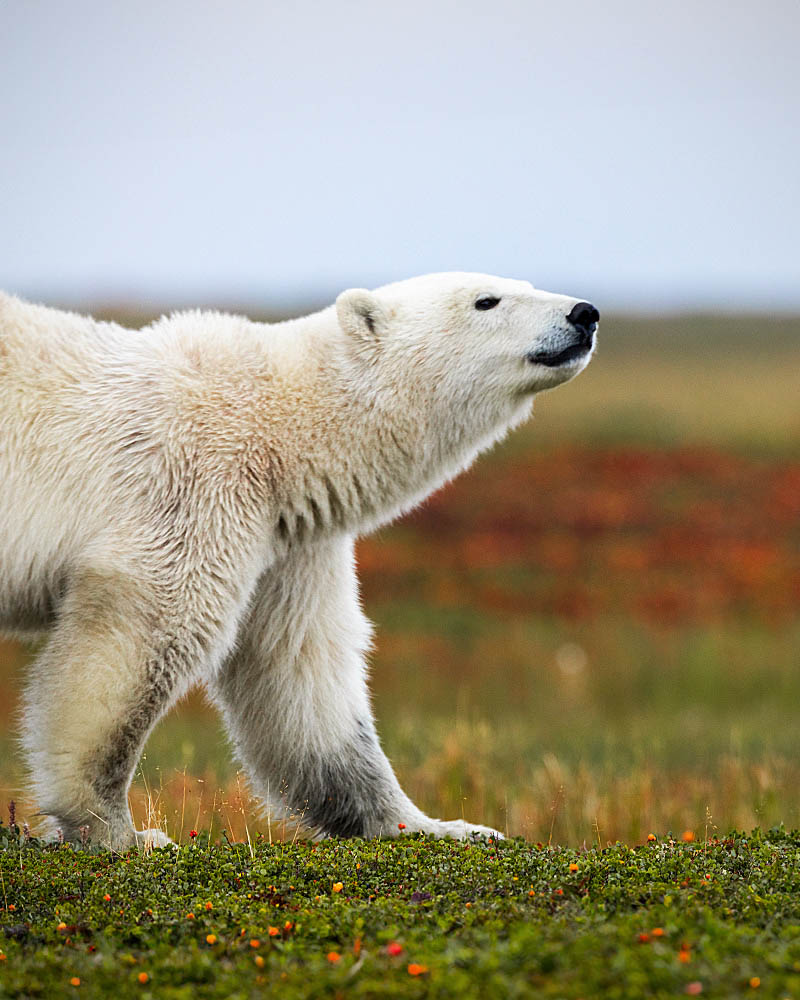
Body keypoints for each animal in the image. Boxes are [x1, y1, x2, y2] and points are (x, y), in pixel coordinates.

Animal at [0, 272, 596, 844]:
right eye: (486, 300)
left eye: (524, 283)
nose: (584, 312)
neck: (276, 422)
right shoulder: (195, 482)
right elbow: (145, 629)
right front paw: (122, 831)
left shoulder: (288, 542)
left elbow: (299, 668)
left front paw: (443, 826)